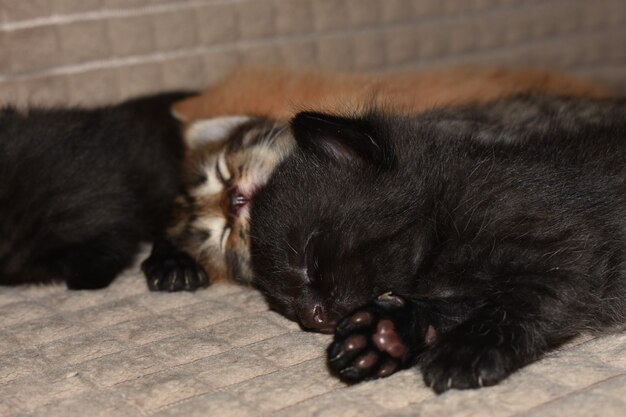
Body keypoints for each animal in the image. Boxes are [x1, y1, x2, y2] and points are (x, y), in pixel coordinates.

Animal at [249, 96, 624, 392]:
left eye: (309, 254)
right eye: (285, 305)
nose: (311, 316)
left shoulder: (567, 246)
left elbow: (520, 300)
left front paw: (468, 348)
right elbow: (458, 306)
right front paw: (385, 335)